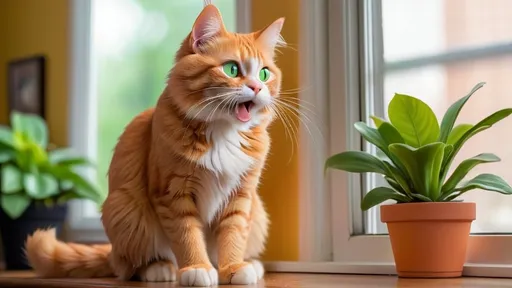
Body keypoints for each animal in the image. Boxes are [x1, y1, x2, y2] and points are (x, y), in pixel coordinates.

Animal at [23, 2, 284, 288]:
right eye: (232, 69)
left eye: (264, 73)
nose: (257, 87)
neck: (223, 131)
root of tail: (112, 252)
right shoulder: (172, 194)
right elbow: (188, 236)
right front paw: (197, 268)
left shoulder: (241, 196)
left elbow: (233, 236)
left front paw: (233, 268)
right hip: (127, 210)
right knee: (130, 267)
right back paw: (160, 269)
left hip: (257, 212)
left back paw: (250, 265)